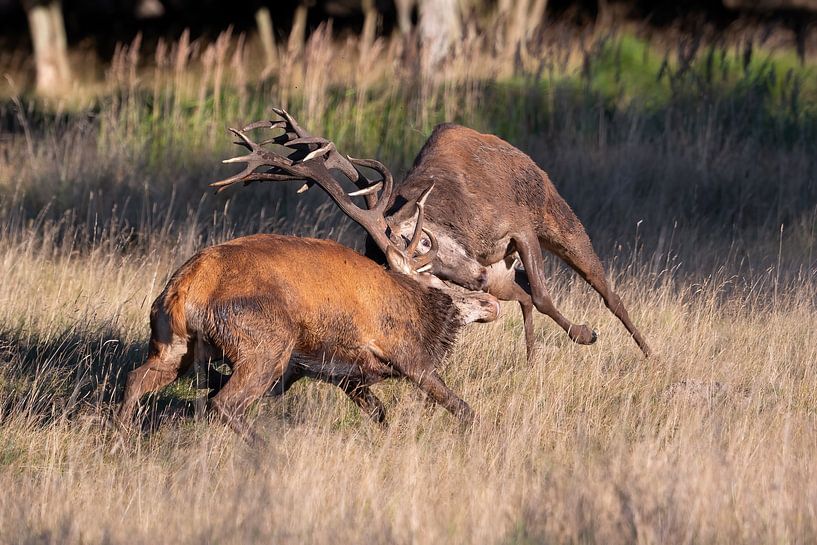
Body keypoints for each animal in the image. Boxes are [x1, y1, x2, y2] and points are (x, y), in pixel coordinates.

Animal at [116, 141, 500, 441]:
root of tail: (184, 288)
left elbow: (381, 416)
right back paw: (265, 449)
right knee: (222, 402)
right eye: (441, 283)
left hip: (173, 344)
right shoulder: (408, 354)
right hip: (266, 343)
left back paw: (121, 438)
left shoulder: (347, 377)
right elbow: (461, 407)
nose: (491, 303)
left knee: (137, 378)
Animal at [211, 110, 652, 361]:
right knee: (525, 296)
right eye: (427, 283)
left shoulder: (519, 227)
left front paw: (586, 333)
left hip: (556, 216)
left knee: (605, 289)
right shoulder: (494, 266)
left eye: (424, 242)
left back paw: (649, 353)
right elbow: (535, 297)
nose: (477, 278)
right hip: (505, 273)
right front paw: (574, 335)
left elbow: (545, 295)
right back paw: (530, 360)